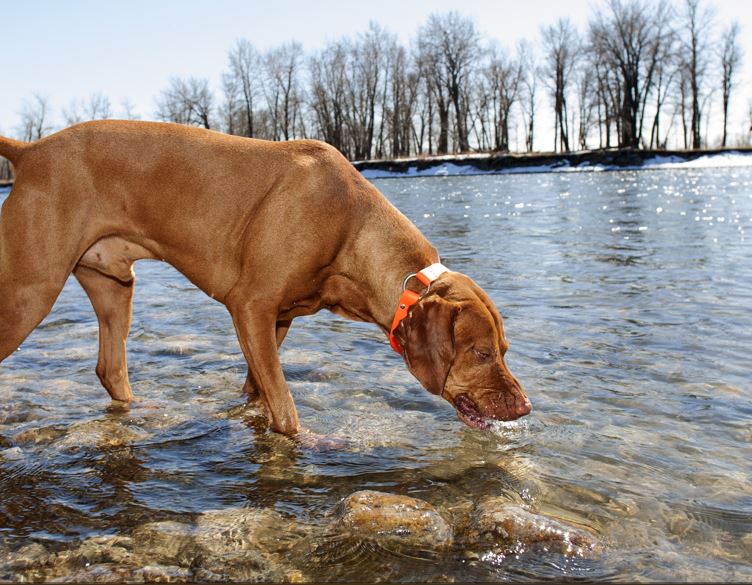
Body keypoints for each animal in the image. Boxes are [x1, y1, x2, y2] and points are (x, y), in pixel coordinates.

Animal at [0, 121, 532, 434]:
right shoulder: (251, 307)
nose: (526, 407)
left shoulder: (278, 321)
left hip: (114, 286)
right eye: (481, 353)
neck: (350, 225)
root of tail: (31, 149)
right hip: (28, 292)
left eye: (505, 350)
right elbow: (288, 412)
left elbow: (258, 393)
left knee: (110, 370)